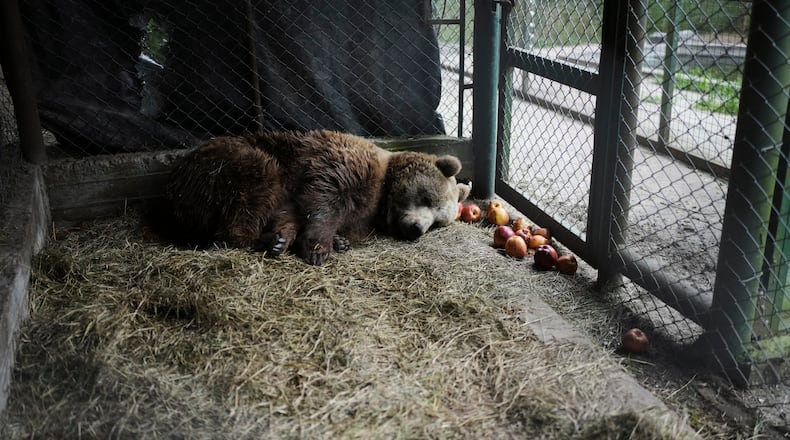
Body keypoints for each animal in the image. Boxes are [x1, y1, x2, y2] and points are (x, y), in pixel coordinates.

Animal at [155, 130, 472, 265]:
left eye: (438, 222)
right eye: (428, 198)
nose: (417, 229)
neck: (381, 196)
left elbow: (291, 212)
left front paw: (332, 240)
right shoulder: (340, 167)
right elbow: (324, 199)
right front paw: (319, 248)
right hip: (224, 165)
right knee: (254, 185)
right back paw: (262, 240)